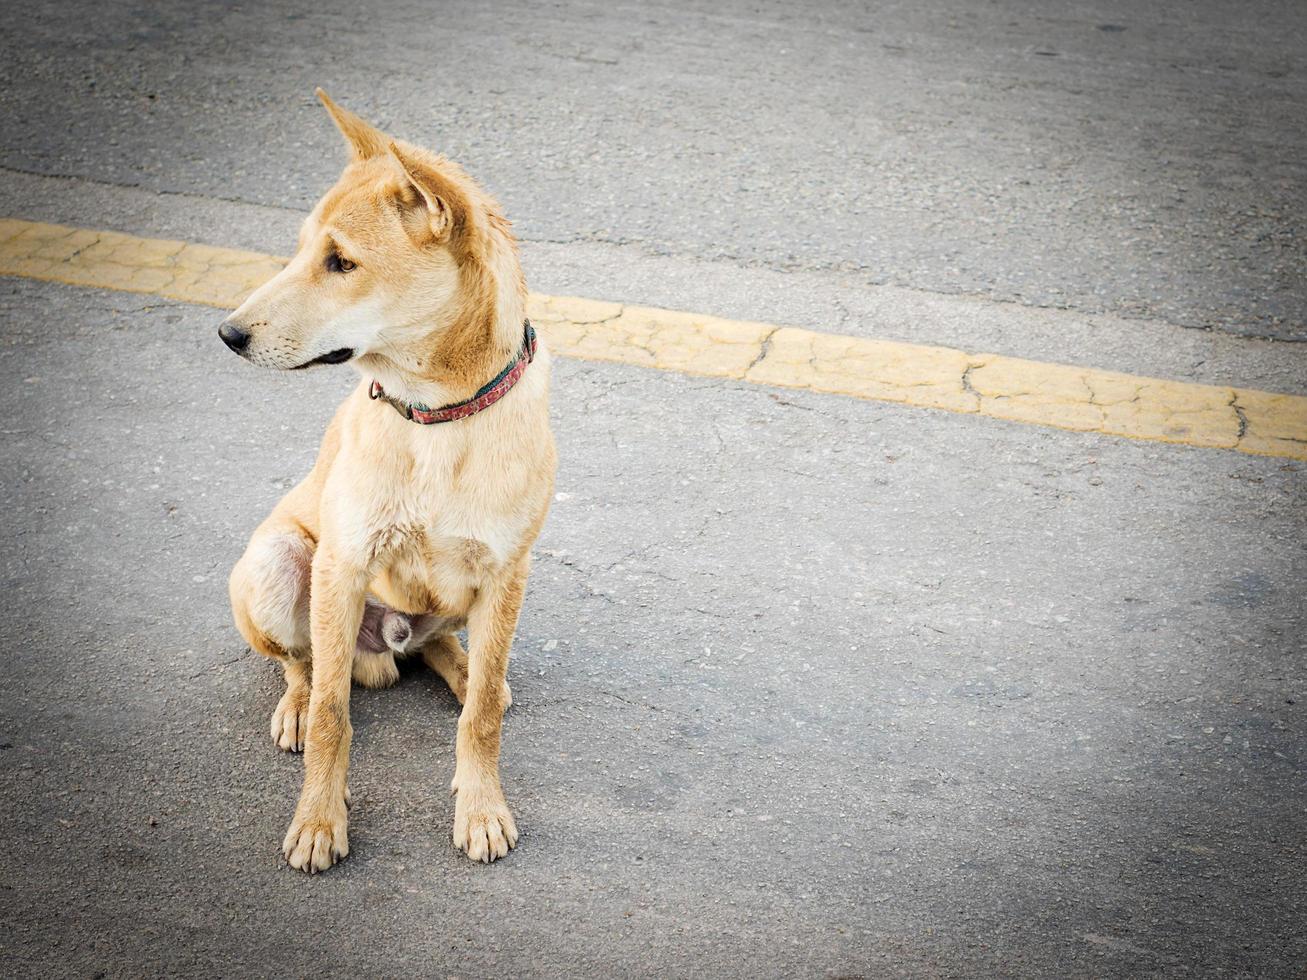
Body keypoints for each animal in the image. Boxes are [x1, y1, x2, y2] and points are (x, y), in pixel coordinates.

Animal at [220, 90, 556, 872]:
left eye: (341, 261)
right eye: (301, 249)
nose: (228, 333)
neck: (435, 416)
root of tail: (385, 644)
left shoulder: (508, 573)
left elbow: (482, 719)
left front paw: (480, 806)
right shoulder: (343, 565)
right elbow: (334, 714)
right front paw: (319, 820)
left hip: (468, 603)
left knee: (448, 656)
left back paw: (463, 667)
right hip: (280, 562)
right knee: (306, 667)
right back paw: (295, 707)